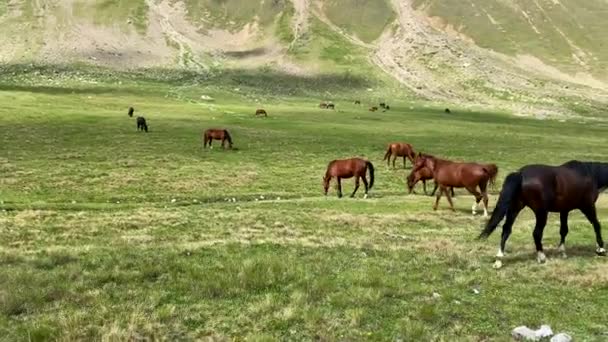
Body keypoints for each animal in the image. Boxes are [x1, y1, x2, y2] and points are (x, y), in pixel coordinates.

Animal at [480, 160, 608, 268]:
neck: (590, 174)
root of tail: (521, 174)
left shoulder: (564, 210)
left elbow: (563, 230)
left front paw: (562, 252)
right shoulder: (587, 206)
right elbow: (596, 224)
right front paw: (601, 248)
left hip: (515, 208)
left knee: (506, 230)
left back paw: (499, 259)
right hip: (541, 212)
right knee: (536, 233)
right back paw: (542, 257)